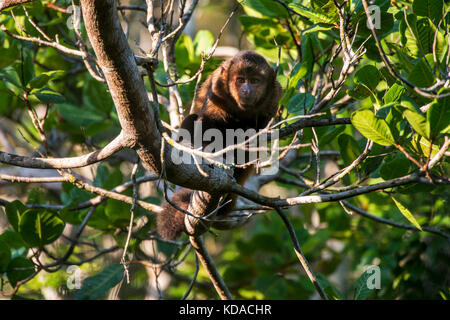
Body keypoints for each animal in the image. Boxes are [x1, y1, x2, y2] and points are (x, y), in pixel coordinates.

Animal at [156, 50, 280, 240]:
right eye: (240, 80)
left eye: (255, 81)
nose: (246, 90)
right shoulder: (218, 89)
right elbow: (209, 123)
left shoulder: (274, 96)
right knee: (192, 119)